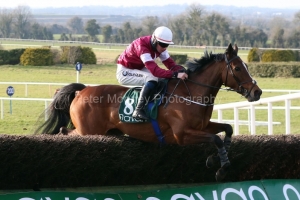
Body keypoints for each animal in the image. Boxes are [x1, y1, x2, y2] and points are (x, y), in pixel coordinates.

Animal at [34, 43, 260, 181]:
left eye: (246, 66)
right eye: (238, 68)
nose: (257, 92)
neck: (191, 93)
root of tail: (82, 91)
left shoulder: (203, 126)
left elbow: (227, 130)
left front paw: (217, 160)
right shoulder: (181, 135)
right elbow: (216, 139)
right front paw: (221, 168)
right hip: (88, 131)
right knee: (65, 132)